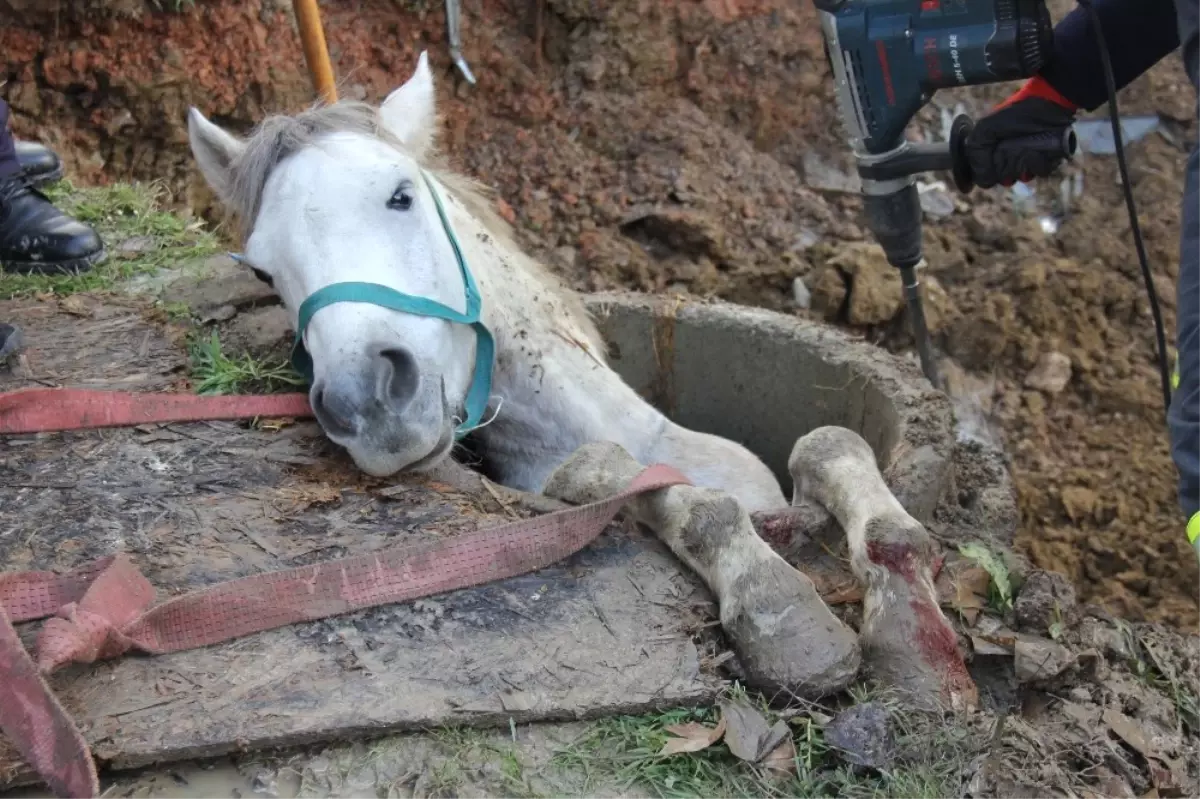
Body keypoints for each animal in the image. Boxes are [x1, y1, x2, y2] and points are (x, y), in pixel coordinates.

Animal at [189, 52, 974, 705]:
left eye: (401, 195)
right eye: (264, 272)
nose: (367, 402)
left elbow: (831, 446)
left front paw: (915, 633)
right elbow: (658, 494)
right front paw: (781, 611)